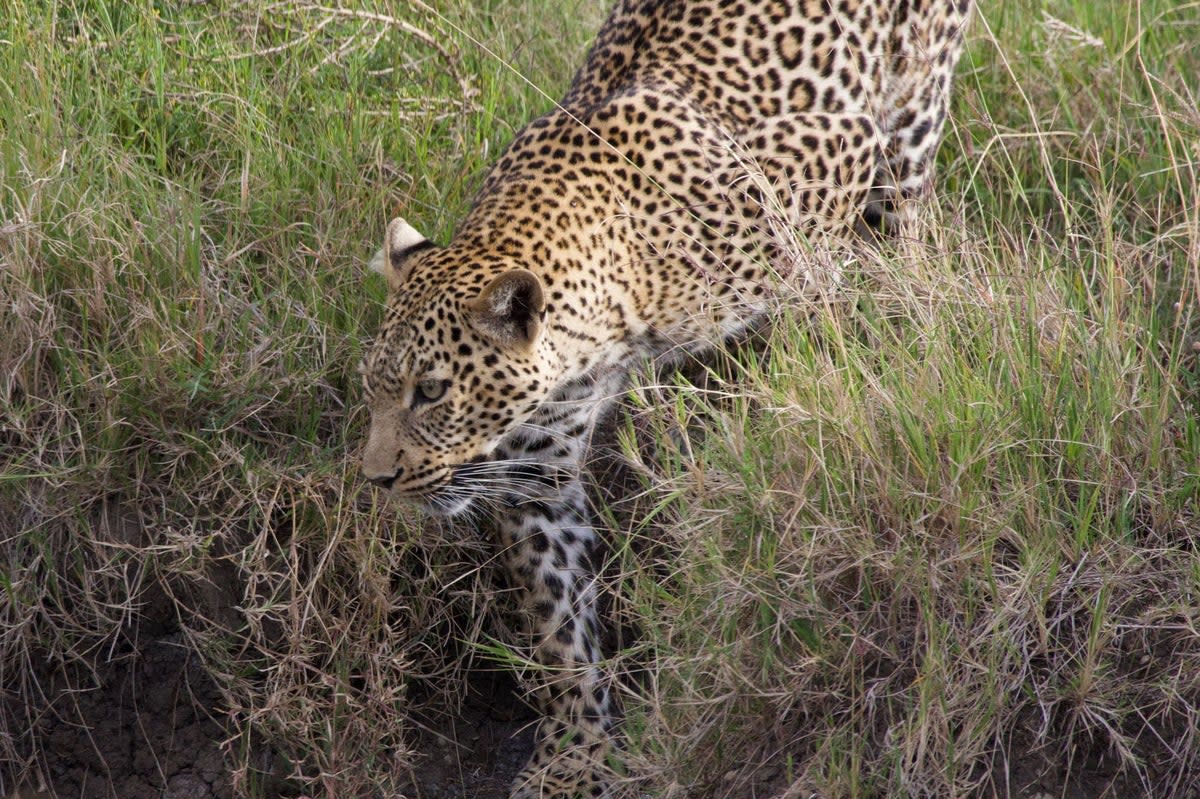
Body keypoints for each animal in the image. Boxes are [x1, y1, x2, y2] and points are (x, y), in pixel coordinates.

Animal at [358, 1, 971, 796]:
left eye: (431, 391)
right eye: (374, 388)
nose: (376, 479)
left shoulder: (838, 153)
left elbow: (818, 316)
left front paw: (821, 381)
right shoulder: (535, 473)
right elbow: (558, 622)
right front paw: (574, 752)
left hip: (912, 117)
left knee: (904, 225)